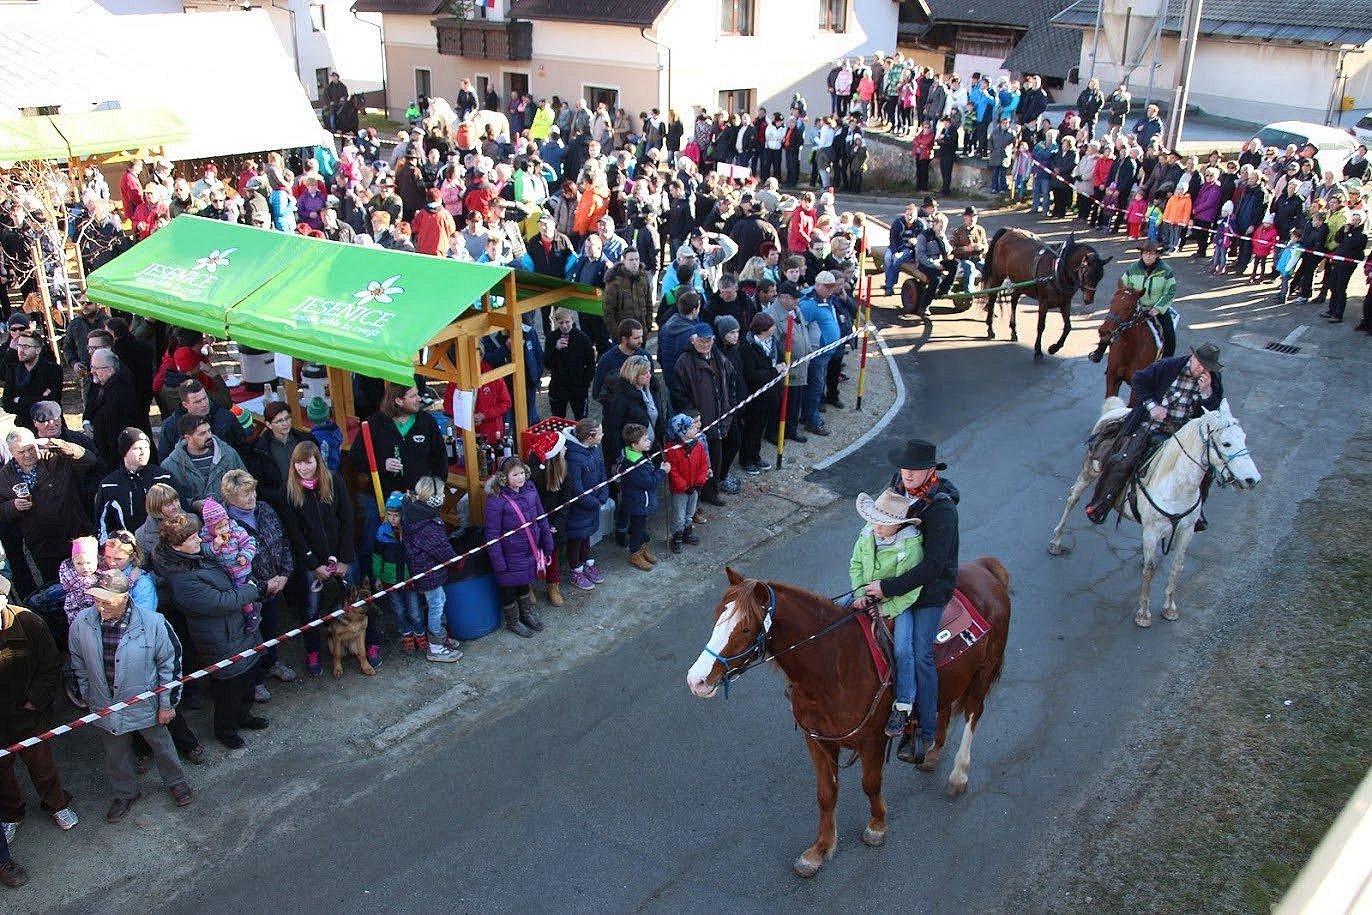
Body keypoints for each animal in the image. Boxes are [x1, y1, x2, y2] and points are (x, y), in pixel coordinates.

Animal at [683, 559, 1015, 877]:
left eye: (744, 629)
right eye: (716, 618)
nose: (696, 680)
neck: (834, 665)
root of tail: (985, 568)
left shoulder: (872, 741)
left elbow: (870, 783)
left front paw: (877, 826)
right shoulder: (818, 741)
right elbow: (826, 794)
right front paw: (818, 851)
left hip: (983, 673)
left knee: (972, 715)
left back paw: (958, 775)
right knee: (942, 705)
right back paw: (931, 753)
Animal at [1048, 397, 1262, 625]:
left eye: (1244, 438)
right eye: (1226, 443)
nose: (1252, 480)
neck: (1177, 486)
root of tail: (1118, 411)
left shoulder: (1186, 530)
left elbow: (1177, 566)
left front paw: (1169, 608)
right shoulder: (1152, 530)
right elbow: (1149, 570)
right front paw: (1143, 613)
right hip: (1089, 471)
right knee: (1072, 498)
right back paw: (1056, 541)